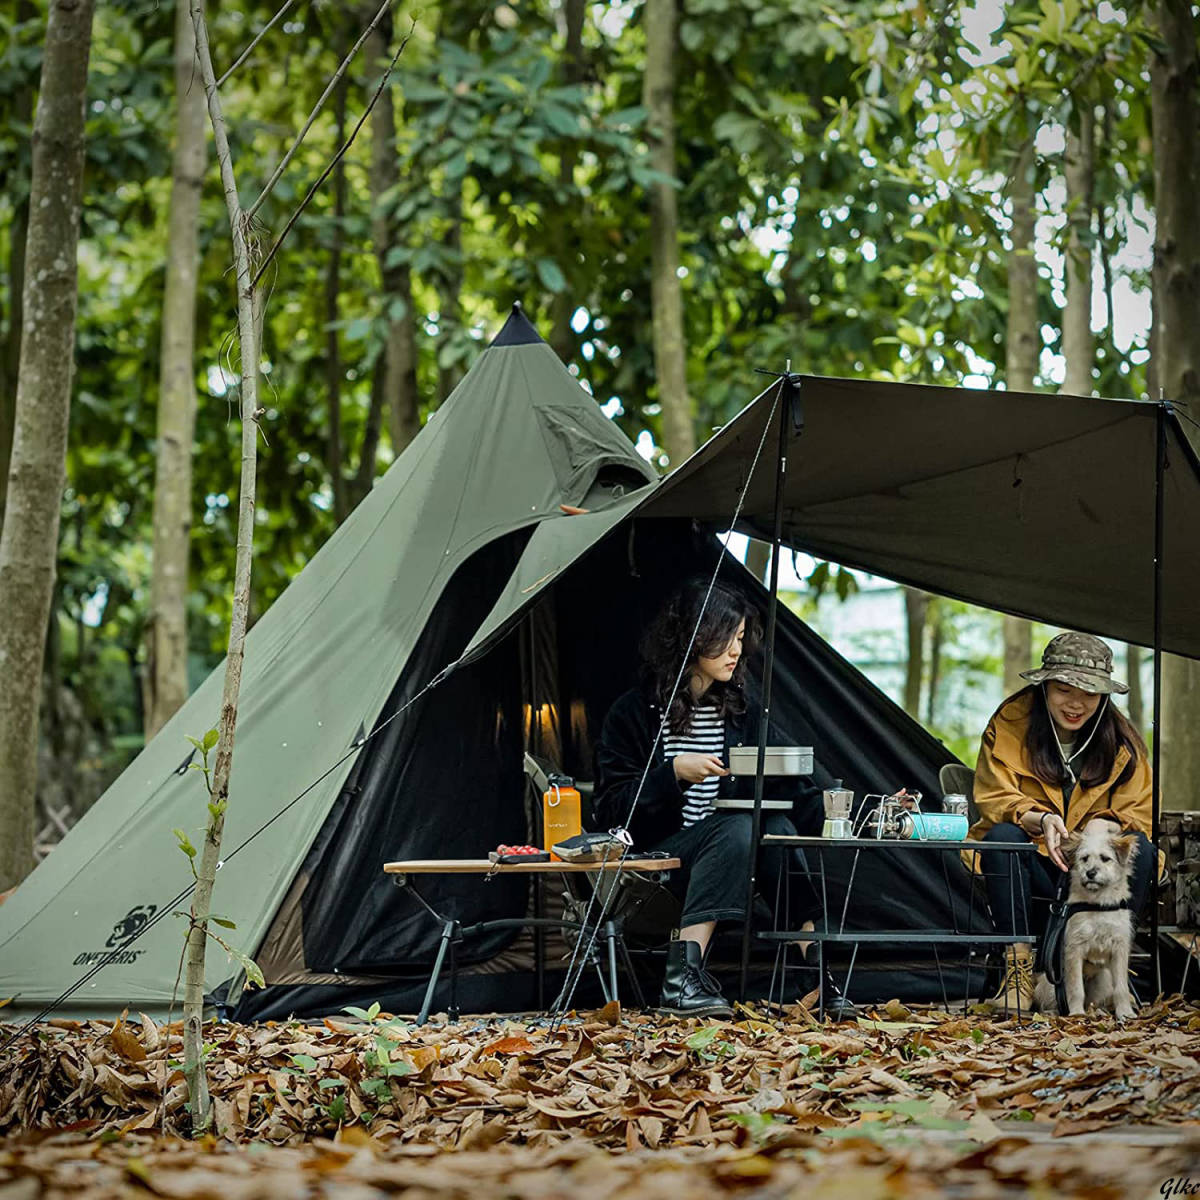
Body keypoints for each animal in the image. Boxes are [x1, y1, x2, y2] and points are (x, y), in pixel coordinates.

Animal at [1032, 816, 1142, 1022]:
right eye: (1084, 859)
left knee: (1096, 1000)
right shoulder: (1074, 950)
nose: (1090, 873)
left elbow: (1121, 988)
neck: (1098, 904)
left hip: (1103, 980)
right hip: (1051, 983)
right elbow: (1076, 989)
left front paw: (1125, 1012)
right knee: (1052, 1002)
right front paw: (1076, 1013)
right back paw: (1055, 1013)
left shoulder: (1120, 950)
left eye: (1105, 858)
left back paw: (1099, 1011)